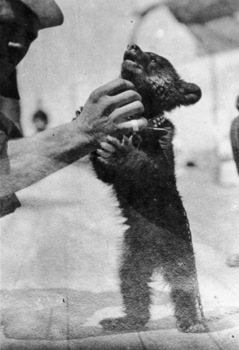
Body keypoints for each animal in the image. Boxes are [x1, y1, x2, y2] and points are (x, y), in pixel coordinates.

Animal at [91, 44, 207, 334]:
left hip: (177, 247)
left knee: (184, 283)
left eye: (154, 59)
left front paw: (120, 152)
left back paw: (192, 322)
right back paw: (124, 320)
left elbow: (149, 171)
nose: (131, 46)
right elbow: (106, 174)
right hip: (134, 252)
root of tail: (155, 258)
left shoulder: (162, 148)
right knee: (131, 282)